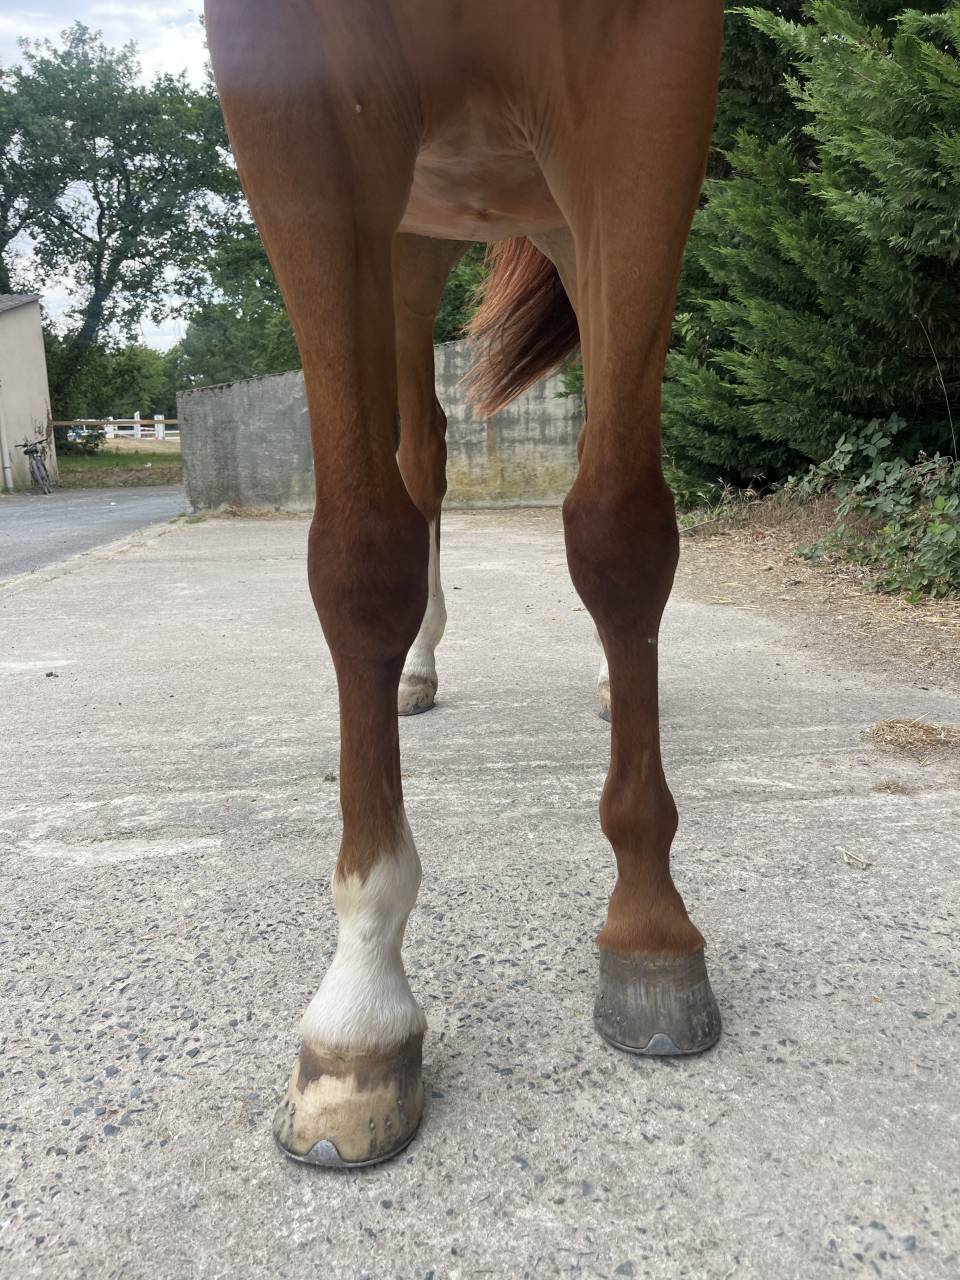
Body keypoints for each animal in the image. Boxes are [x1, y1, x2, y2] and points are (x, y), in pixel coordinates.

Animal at [205, 0, 726, 1168]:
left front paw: (649, 927)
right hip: (409, 234)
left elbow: (621, 528)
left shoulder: (648, 78)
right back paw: (416, 669)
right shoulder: (294, 83)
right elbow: (362, 555)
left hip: (564, 216)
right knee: (422, 455)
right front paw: (360, 1005)